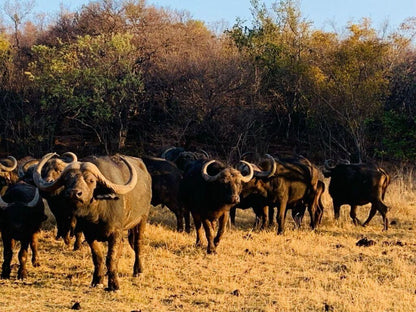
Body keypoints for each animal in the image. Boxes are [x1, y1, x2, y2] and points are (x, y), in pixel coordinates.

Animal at [33, 152, 151, 292]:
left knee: (138, 245)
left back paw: (138, 271)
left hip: (142, 219)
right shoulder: (89, 235)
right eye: (67, 180)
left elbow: (111, 258)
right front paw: (97, 280)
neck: (97, 214)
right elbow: (98, 257)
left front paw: (114, 285)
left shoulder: (115, 233)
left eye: (91, 180)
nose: (74, 193)